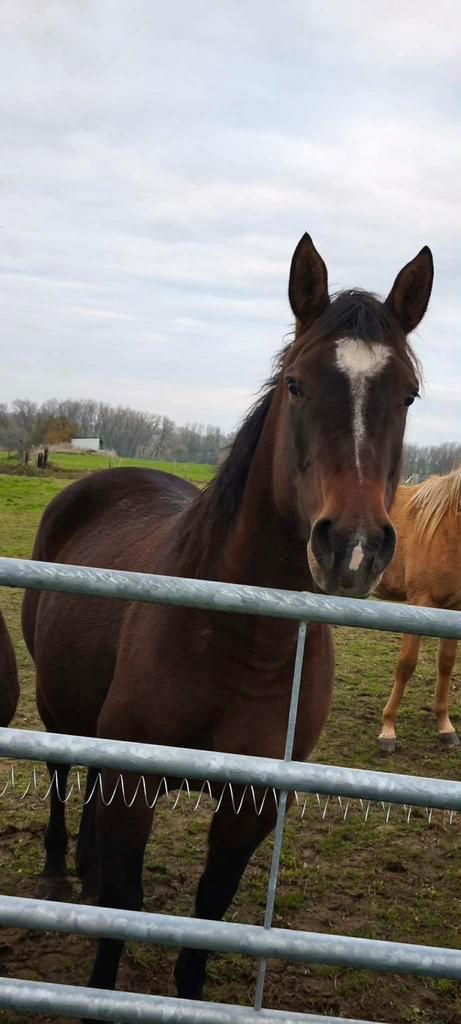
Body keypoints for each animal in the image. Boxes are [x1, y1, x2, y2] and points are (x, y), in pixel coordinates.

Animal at [22, 233, 433, 1014]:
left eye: (409, 395)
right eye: (296, 385)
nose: (353, 547)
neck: (242, 640)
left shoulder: (252, 805)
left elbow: (208, 921)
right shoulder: (137, 786)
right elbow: (120, 919)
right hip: (58, 707)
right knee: (63, 774)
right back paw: (62, 869)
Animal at [377, 466, 461, 752]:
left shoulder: (452, 609)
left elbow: (446, 664)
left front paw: (445, 727)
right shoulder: (418, 603)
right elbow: (407, 664)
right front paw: (388, 730)